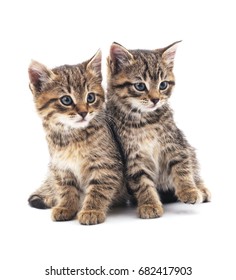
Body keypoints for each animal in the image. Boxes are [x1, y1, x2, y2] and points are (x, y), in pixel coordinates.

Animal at [27, 50, 126, 225]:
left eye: (90, 97)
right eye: (66, 100)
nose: (83, 112)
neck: (73, 137)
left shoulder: (106, 166)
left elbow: (98, 189)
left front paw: (92, 210)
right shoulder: (62, 167)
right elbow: (66, 190)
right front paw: (66, 207)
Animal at [106, 41, 211, 219]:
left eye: (163, 85)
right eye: (140, 86)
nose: (155, 99)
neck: (145, 120)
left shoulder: (175, 143)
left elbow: (182, 166)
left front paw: (189, 190)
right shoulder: (133, 156)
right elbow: (141, 181)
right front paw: (149, 204)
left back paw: (200, 188)